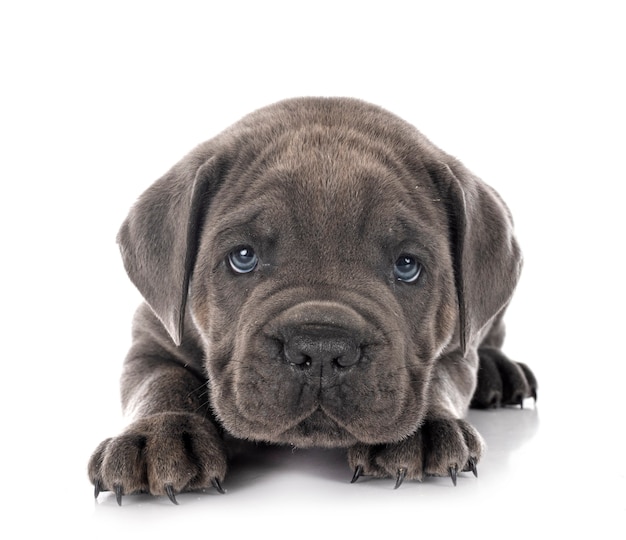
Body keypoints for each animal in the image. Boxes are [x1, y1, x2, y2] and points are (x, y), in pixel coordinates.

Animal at [88, 97, 536, 506]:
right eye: (243, 256)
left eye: (407, 265)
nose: (321, 350)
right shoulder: (154, 337)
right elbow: (161, 381)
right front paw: (158, 435)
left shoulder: (456, 347)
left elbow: (438, 375)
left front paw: (424, 428)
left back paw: (500, 372)